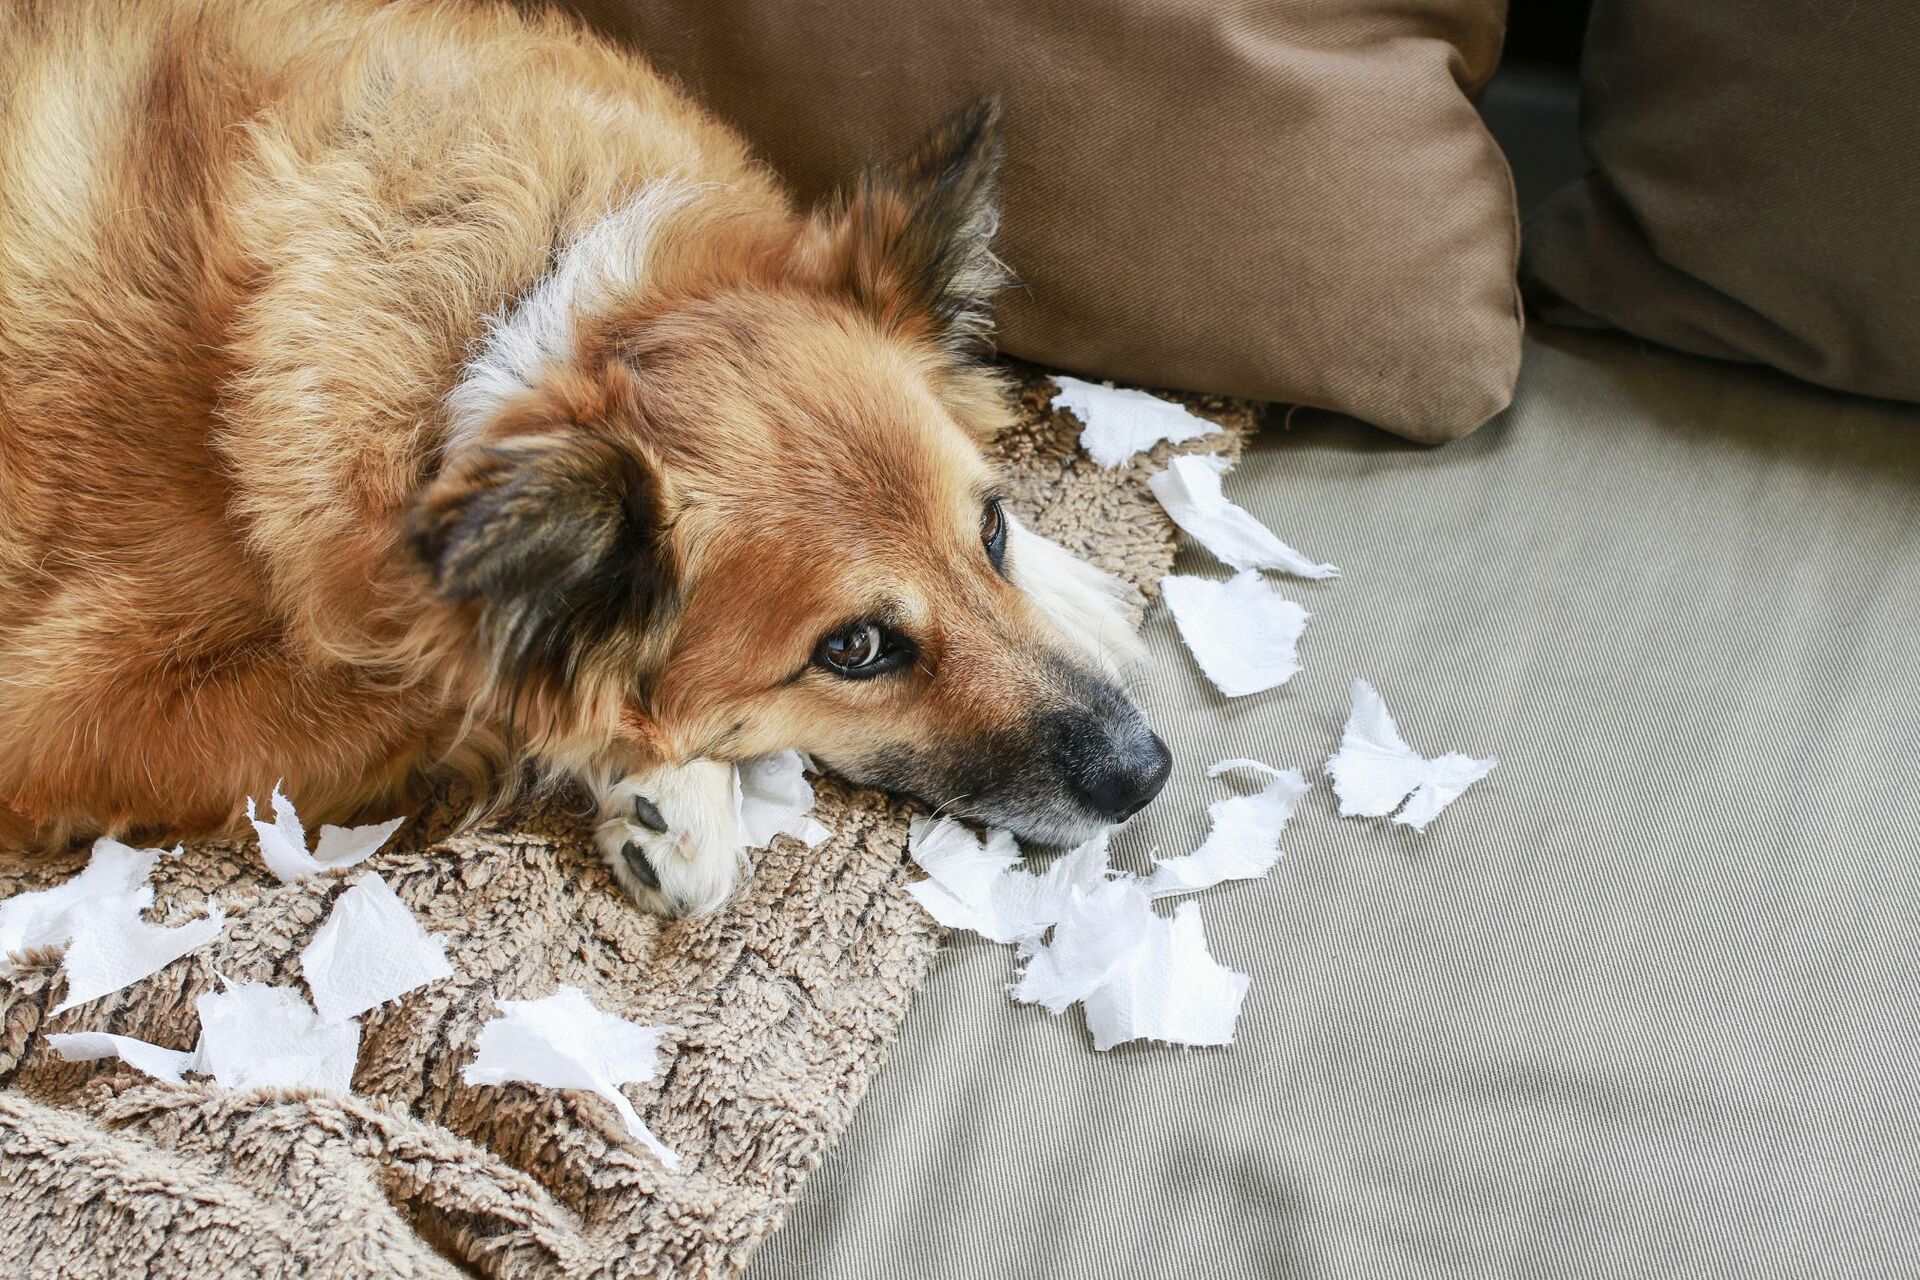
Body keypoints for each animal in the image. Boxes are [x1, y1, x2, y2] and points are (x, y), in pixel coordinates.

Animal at [0, 2, 1167, 921]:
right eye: (855, 648)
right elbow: (473, 693)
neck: (530, 332)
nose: (1147, 774)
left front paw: (1076, 587)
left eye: (993, 529)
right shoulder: (72, 711)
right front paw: (673, 788)